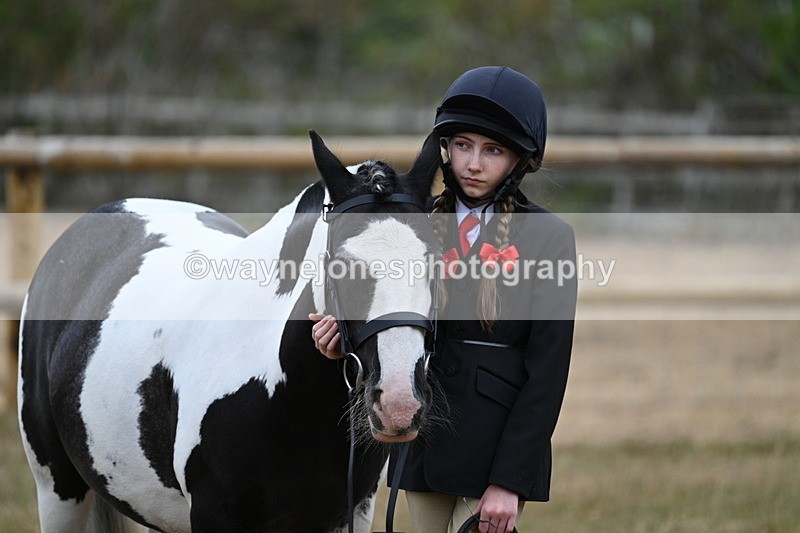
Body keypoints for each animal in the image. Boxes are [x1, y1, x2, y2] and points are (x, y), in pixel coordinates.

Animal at [17, 130, 442, 533]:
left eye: (435, 260)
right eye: (341, 262)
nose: (399, 404)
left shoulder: (349, 512)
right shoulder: (212, 514)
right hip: (57, 490)